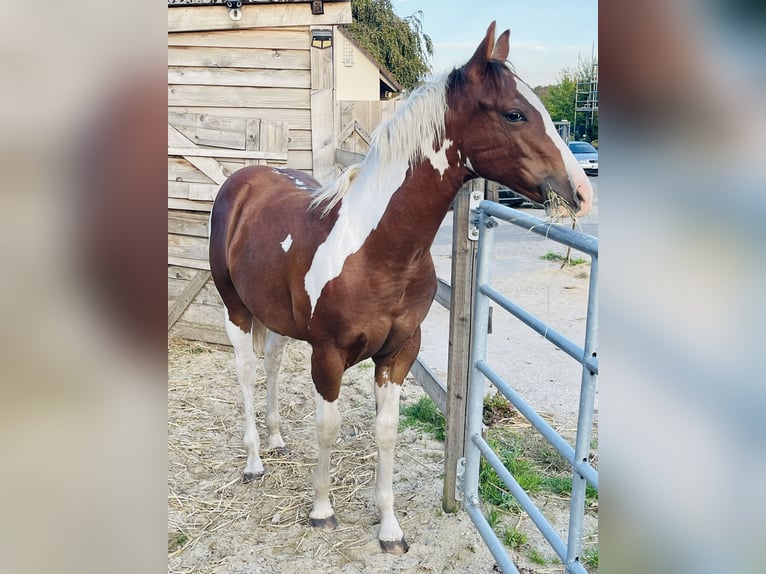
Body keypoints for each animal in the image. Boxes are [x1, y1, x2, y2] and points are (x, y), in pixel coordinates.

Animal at [208, 21, 592, 555]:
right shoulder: (328, 354)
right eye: (514, 113)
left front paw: (389, 528)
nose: (581, 192)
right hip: (236, 310)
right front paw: (322, 511)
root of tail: (242, 180)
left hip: (274, 316)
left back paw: (277, 440)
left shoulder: (399, 352)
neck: (378, 252)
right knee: (245, 372)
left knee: (271, 364)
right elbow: (327, 428)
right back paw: (254, 461)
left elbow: (386, 433)